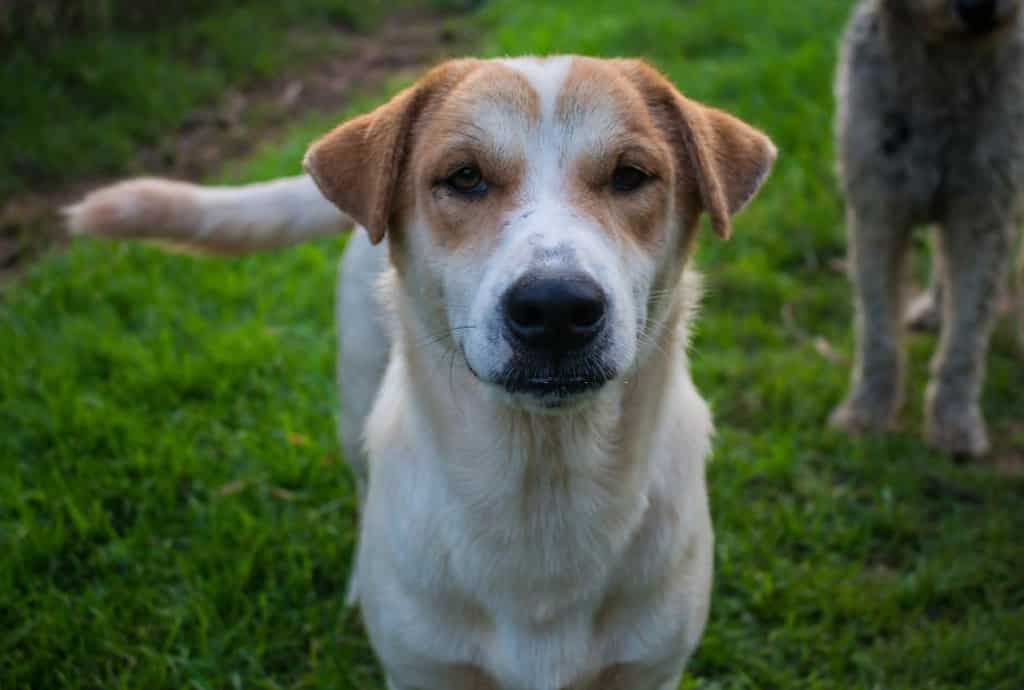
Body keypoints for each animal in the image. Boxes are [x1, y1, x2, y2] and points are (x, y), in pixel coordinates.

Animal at [68, 57, 770, 687]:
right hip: (356, 394)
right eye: (465, 177)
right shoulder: (422, 670)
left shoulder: (652, 667)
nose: (555, 307)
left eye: (630, 175)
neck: (544, 483)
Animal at [831, 1, 1024, 456]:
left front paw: (954, 423)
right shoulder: (877, 209)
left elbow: (967, 333)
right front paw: (866, 412)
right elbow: (878, 328)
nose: (979, 10)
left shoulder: (984, 208)